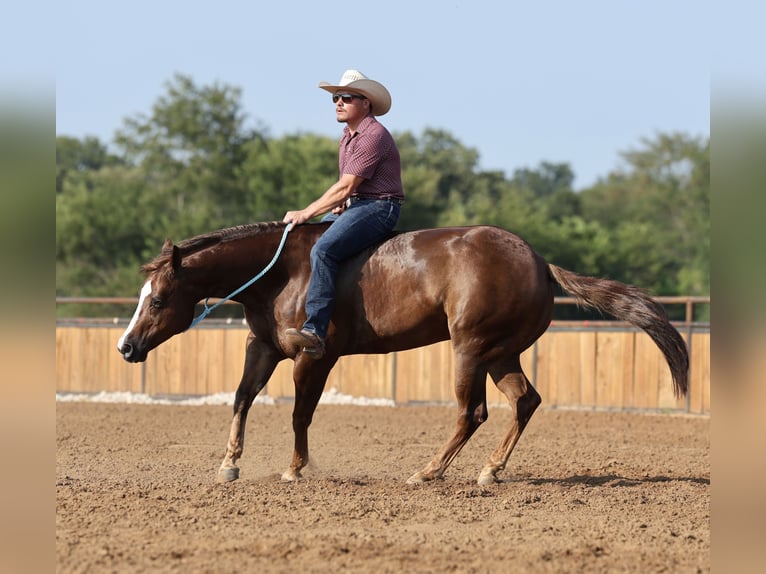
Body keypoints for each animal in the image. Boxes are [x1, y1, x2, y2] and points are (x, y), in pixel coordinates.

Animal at [117, 221, 689, 485]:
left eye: (160, 299)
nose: (126, 346)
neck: (284, 274)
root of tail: (540, 262)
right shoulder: (263, 348)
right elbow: (240, 399)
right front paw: (229, 464)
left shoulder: (315, 356)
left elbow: (301, 413)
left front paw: (296, 469)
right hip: (500, 353)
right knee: (525, 401)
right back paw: (489, 470)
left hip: (470, 350)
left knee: (472, 411)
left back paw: (428, 472)